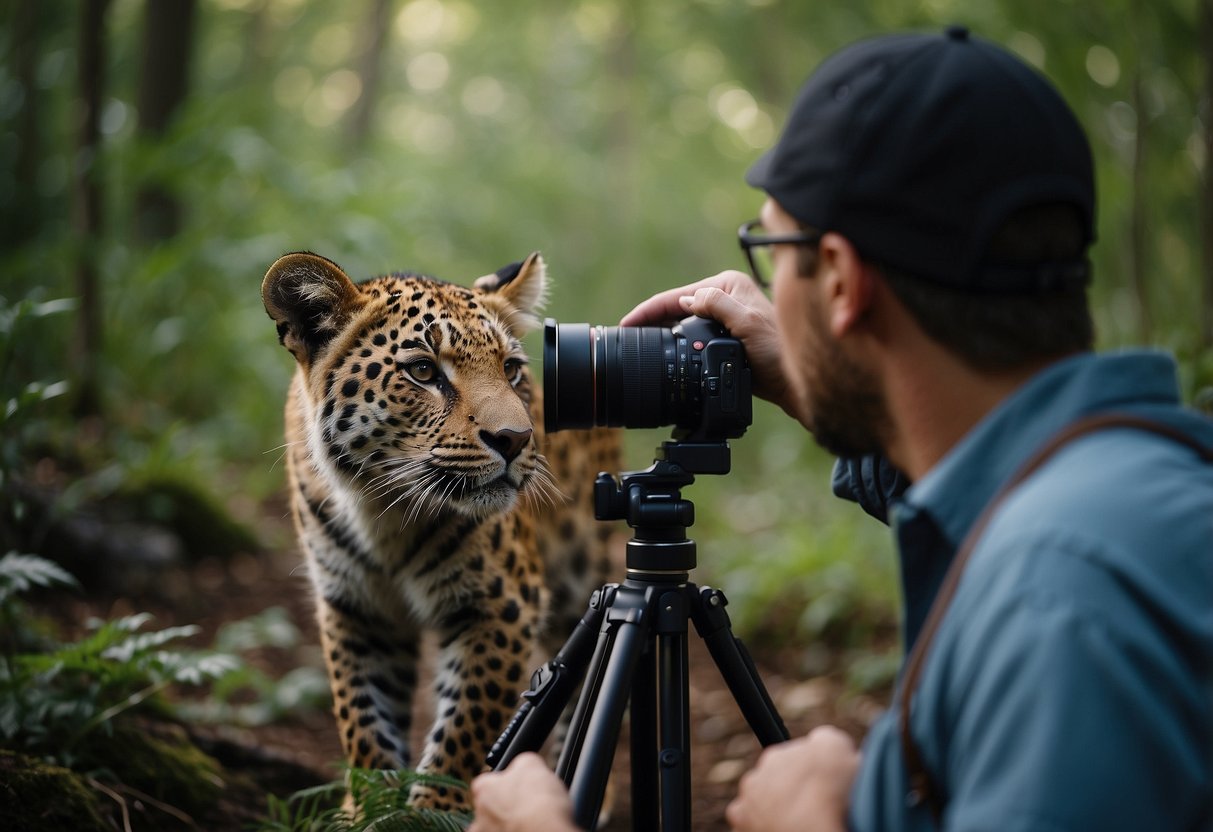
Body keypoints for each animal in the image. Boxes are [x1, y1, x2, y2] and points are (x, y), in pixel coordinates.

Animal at [258, 251, 616, 810]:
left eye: (510, 370)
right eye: (423, 371)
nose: (516, 439)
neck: (382, 509)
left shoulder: (501, 603)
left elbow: (465, 732)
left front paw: (432, 812)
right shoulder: (355, 606)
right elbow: (364, 720)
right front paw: (372, 810)